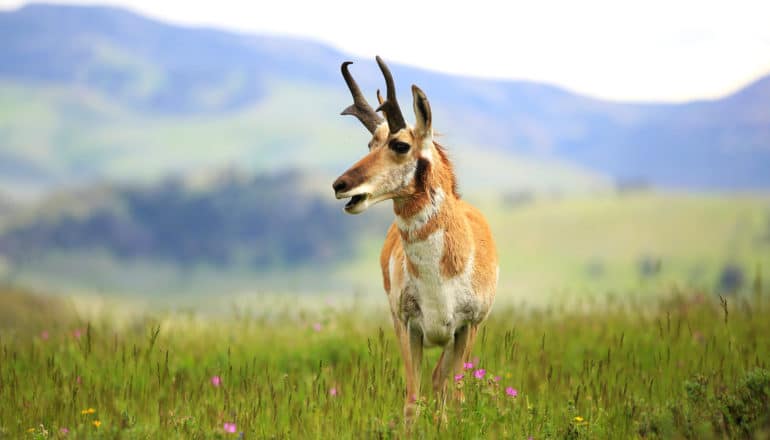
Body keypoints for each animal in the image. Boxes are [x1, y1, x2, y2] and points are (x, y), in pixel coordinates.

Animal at [332, 56, 498, 418]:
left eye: (400, 145)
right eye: (370, 144)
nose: (340, 185)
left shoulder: (467, 328)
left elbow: (454, 397)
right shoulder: (409, 326)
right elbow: (412, 401)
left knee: (443, 385)